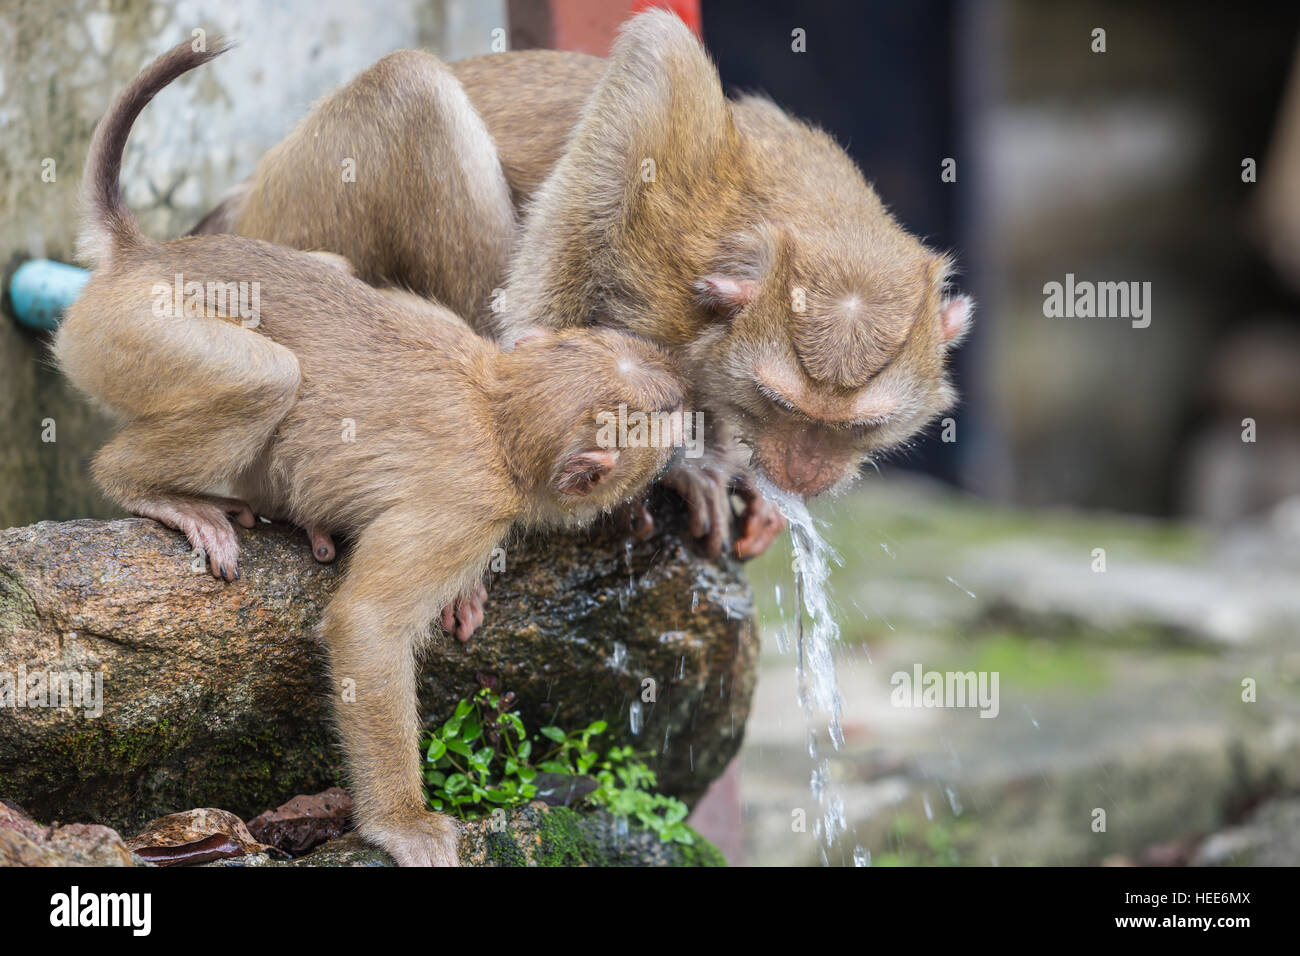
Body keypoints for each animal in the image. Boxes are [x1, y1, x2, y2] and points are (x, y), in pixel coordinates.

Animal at [58, 39, 691, 868]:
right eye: (666, 422)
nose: (687, 395)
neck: (498, 405)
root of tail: (141, 257)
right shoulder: (472, 506)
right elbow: (366, 629)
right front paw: (401, 821)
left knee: (332, 272)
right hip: (124, 332)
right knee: (267, 378)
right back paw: (156, 490)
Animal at [189, 9, 967, 567]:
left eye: (855, 427)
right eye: (782, 405)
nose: (804, 474)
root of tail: (239, 197)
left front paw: (725, 465)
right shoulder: (667, 179)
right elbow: (648, 76)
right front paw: (676, 460)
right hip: (301, 205)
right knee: (413, 90)